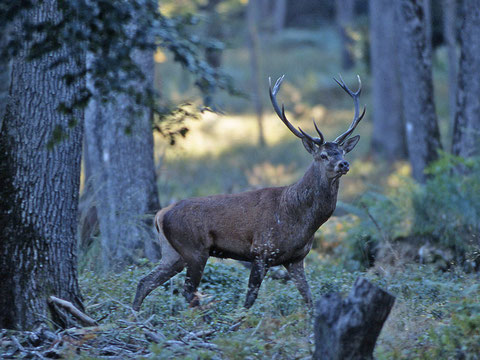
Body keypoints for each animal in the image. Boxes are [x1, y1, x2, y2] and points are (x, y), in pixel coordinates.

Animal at [131, 74, 364, 310]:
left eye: (342, 152)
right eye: (324, 155)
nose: (344, 164)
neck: (298, 218)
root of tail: (160, 215)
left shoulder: (296, 259)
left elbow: (309, 299)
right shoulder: (261, 251)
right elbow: (249, 299)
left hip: (172, 253)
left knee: (145, 282)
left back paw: (136, 315)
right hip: (195, 249)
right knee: (188, 291)